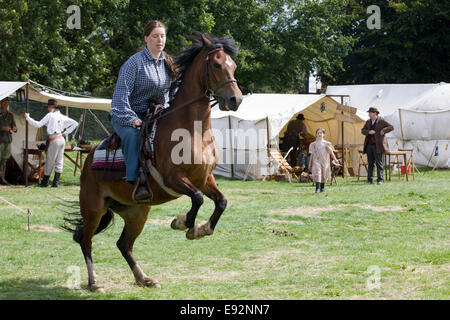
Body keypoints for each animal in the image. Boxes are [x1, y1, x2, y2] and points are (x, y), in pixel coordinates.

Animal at [63, 33, 243, 292]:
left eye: (234, 66)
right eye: (217, 65)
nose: (235, 99)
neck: (192, 131)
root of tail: (88, 159)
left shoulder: (204, 178)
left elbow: (221, 202)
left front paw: (200, 229)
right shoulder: (174, 178)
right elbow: (198, 198)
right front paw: (183, 223)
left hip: (136, 212)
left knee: (123, 244)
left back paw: (143, 278)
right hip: (93, 208)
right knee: (85, 241)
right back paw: (94, 282)